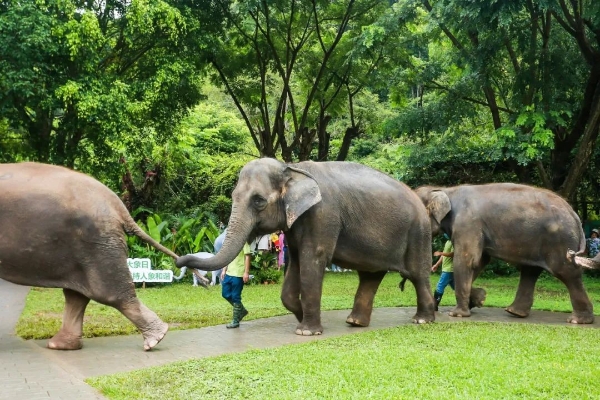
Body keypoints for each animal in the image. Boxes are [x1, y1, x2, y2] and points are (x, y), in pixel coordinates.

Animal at [0, 162, 178, 350]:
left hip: (97, 244)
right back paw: (60, 345)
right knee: (76, 295)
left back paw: (155, 338)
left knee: (109, 293)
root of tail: (117, 205)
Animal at [176, 158, 434, 336]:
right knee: (370, 276)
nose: (178, 260)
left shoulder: (322, 215)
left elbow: (313, 260)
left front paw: (306, 331)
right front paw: (301, 316)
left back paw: (422, 320)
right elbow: (297, 263)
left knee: (418, 275)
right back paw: (355, 322)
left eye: (258, 200)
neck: (291, 168)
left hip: (418, 233)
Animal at [414, 184, 592, 324]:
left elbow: (468, 260)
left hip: (560, 241)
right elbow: (481, 261)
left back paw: (578, 320)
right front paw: (480, 299)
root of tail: (574, 213)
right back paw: (514, 312)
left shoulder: (467, 224)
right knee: (530, 271)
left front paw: (457, 314)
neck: (446, 189)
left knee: (567, 272)